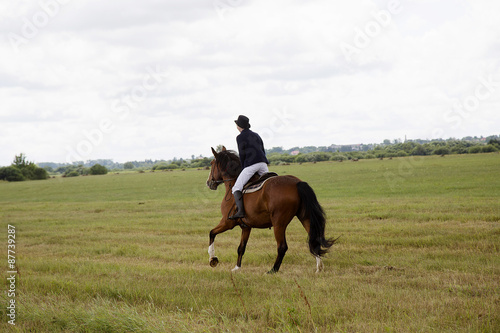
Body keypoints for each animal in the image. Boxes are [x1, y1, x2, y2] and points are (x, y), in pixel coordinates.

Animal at [205, 146, 338, 272]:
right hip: (305, 217)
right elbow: (241, 248)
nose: (209, 182)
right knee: (314, 240)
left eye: (212, 163)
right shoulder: (246, 227)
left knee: (282, 247)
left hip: (279, 223)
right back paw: (319, 268)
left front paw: (213, 259)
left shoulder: (227, 222)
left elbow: (211, 233)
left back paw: (273, 270)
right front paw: (237, 268)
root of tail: (296, 183)